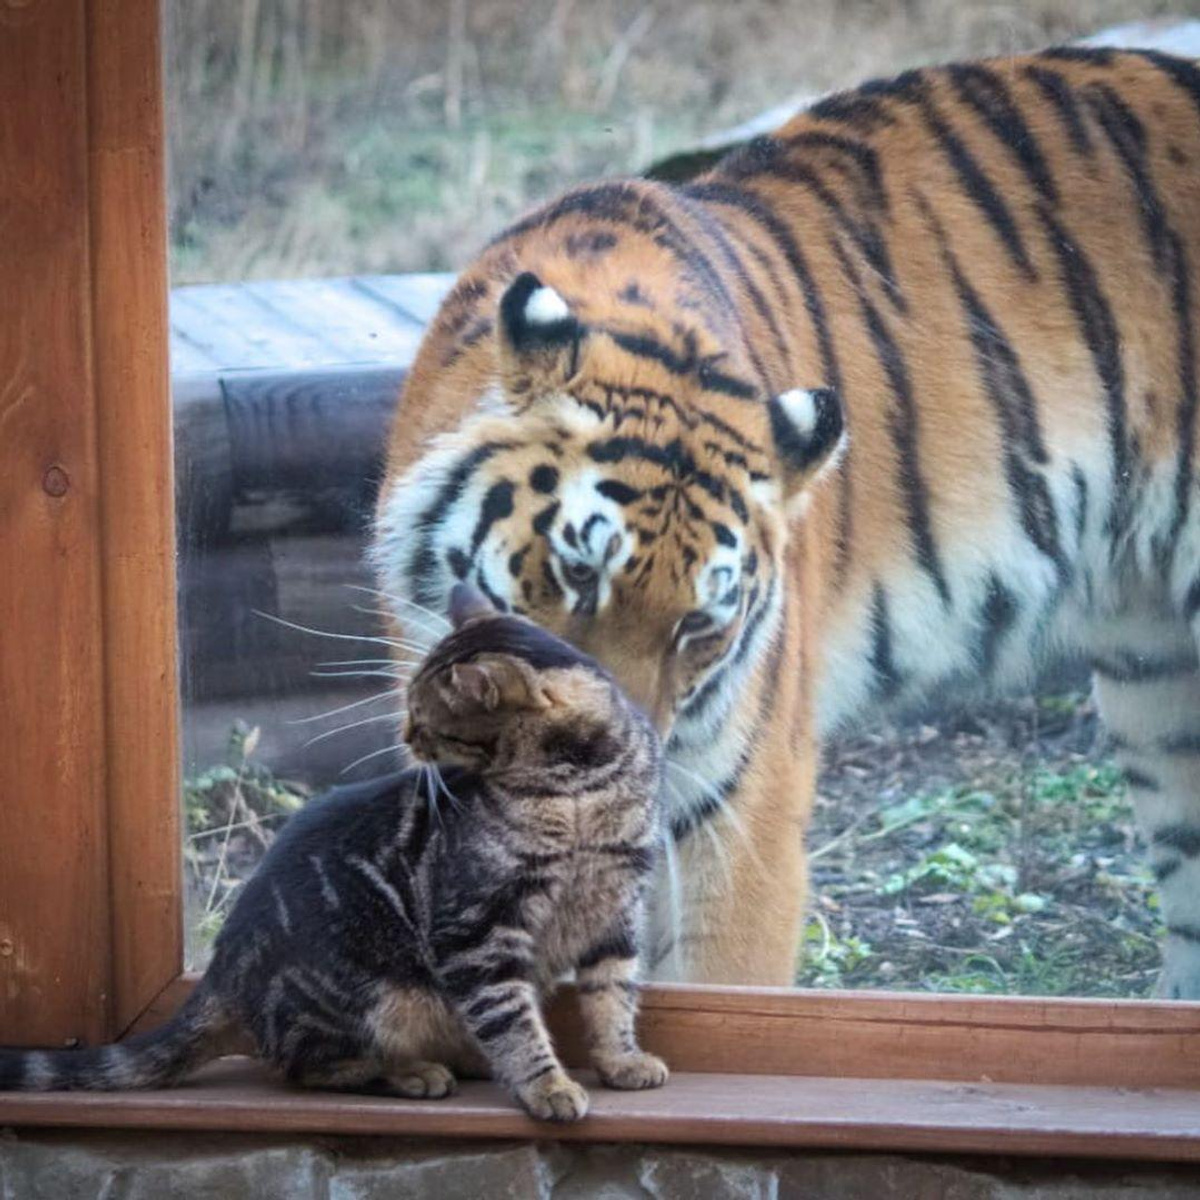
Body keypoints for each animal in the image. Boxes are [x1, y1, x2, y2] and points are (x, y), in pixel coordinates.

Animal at [0, 585, 667, 1118]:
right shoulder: (478, 928)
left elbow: (612, 998)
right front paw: (547, 1087)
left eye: (426, 720)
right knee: (307, 1065)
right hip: (378, 995)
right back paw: (414, 1072)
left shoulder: (617, 908)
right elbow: (516, 1025)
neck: (579, 784)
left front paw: (621, 1062)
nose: (404, 734)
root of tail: (222, 971)